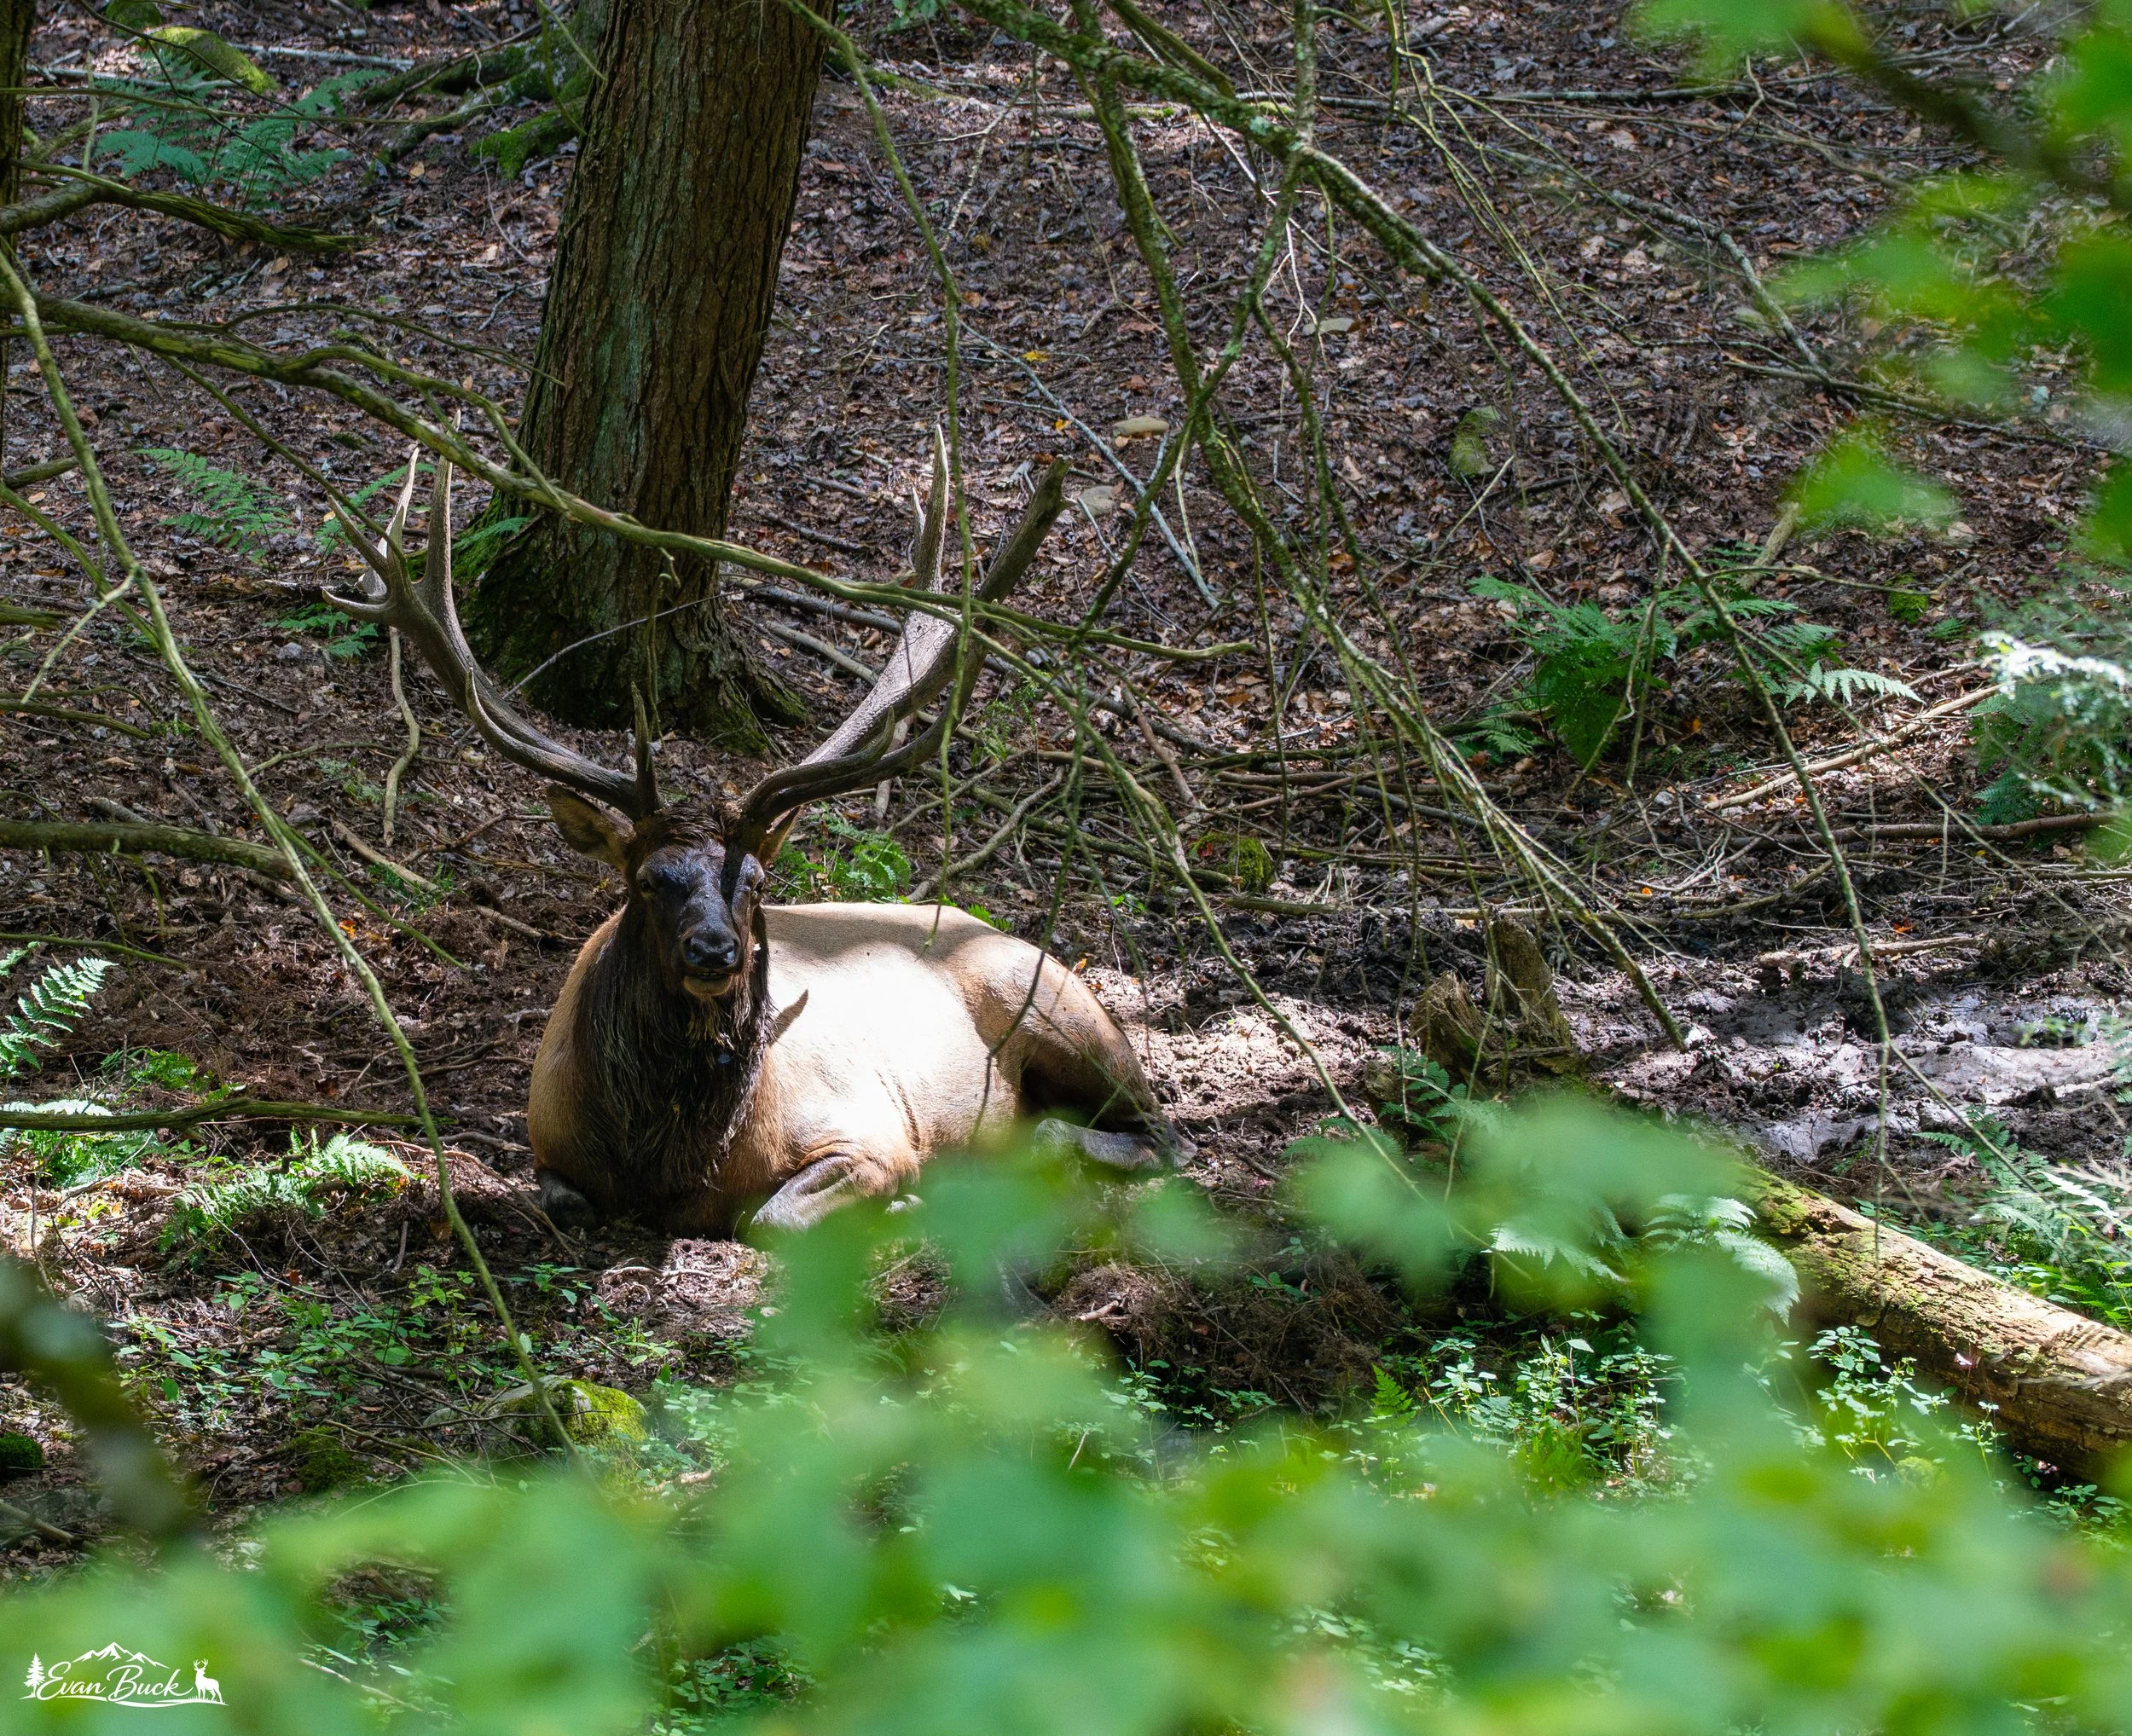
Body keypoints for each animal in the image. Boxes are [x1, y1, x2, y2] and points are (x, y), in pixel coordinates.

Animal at [324, 441, 1179, 1235]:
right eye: (647, 880)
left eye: (758, 883)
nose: (715, 951)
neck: (665, 1168)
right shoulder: (544, 1142)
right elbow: (567, 1202)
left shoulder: (873, 1133)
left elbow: (769, 1216)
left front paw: (900, 1204)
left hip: (1066, 1013)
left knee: (1161, 1133)